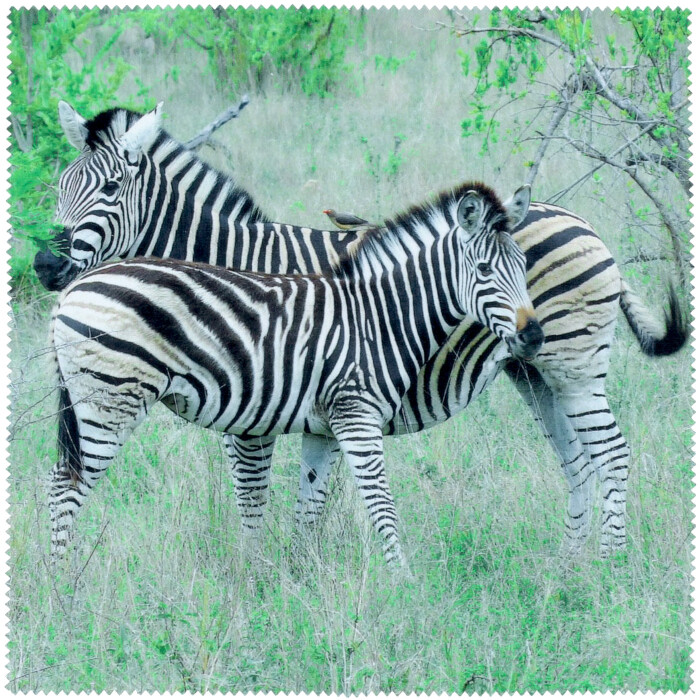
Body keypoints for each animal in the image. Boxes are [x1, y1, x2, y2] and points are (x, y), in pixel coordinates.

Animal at [48, 182, 542, 566]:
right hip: (109, 400)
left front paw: (299, 580)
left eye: (524, 267)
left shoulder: (323, 428)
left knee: (60, 479)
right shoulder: (356, 415)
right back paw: (62, 585)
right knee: (65, 485)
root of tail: (75, 287)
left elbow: (309, 506)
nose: (534, 335)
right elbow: (381, 505)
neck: (380, 316)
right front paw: (403, 583)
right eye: (484, 270)